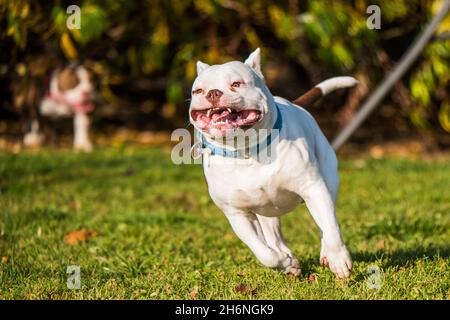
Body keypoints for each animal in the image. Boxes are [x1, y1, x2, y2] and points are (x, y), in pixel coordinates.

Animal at [188, 48, 356, 278]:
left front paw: (338, 259)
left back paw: (326, 254)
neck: (247, 150)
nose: (212, 93)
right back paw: (287, 257)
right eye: (198, 91)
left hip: (328, 181)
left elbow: (330, 225)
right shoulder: (238, 214)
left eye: (236, 84)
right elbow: (264, 253)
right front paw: (287, 264)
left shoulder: (313, 188)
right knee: (274, 238)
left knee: (326, 223)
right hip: (266, 212)